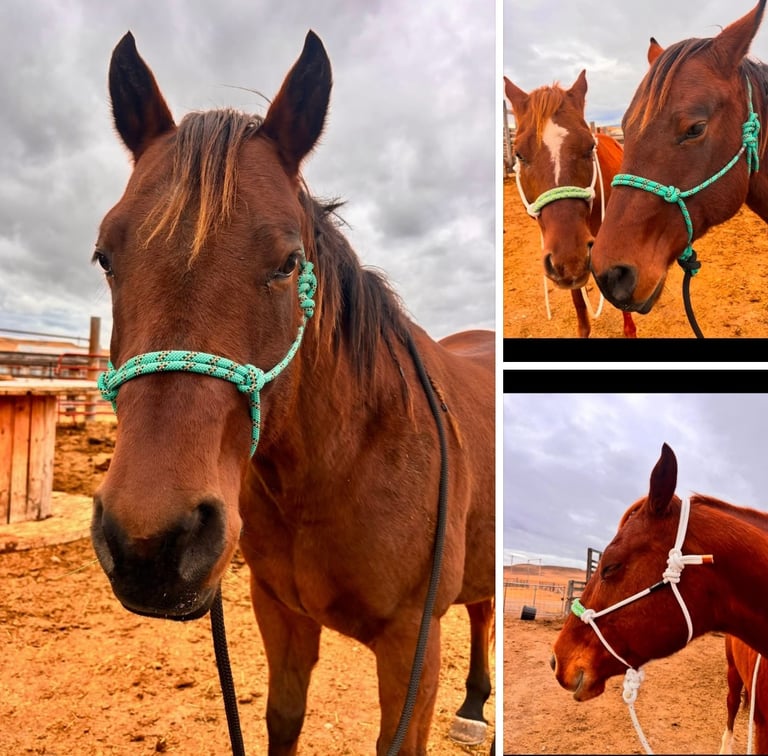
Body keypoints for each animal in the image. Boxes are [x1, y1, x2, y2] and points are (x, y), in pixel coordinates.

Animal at [90, 30, 495, 755]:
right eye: (106, 256)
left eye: (287, 264)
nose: (148, 545)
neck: (340, 467)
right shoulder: (279, 612)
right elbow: (282, 719)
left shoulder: (410, 647)